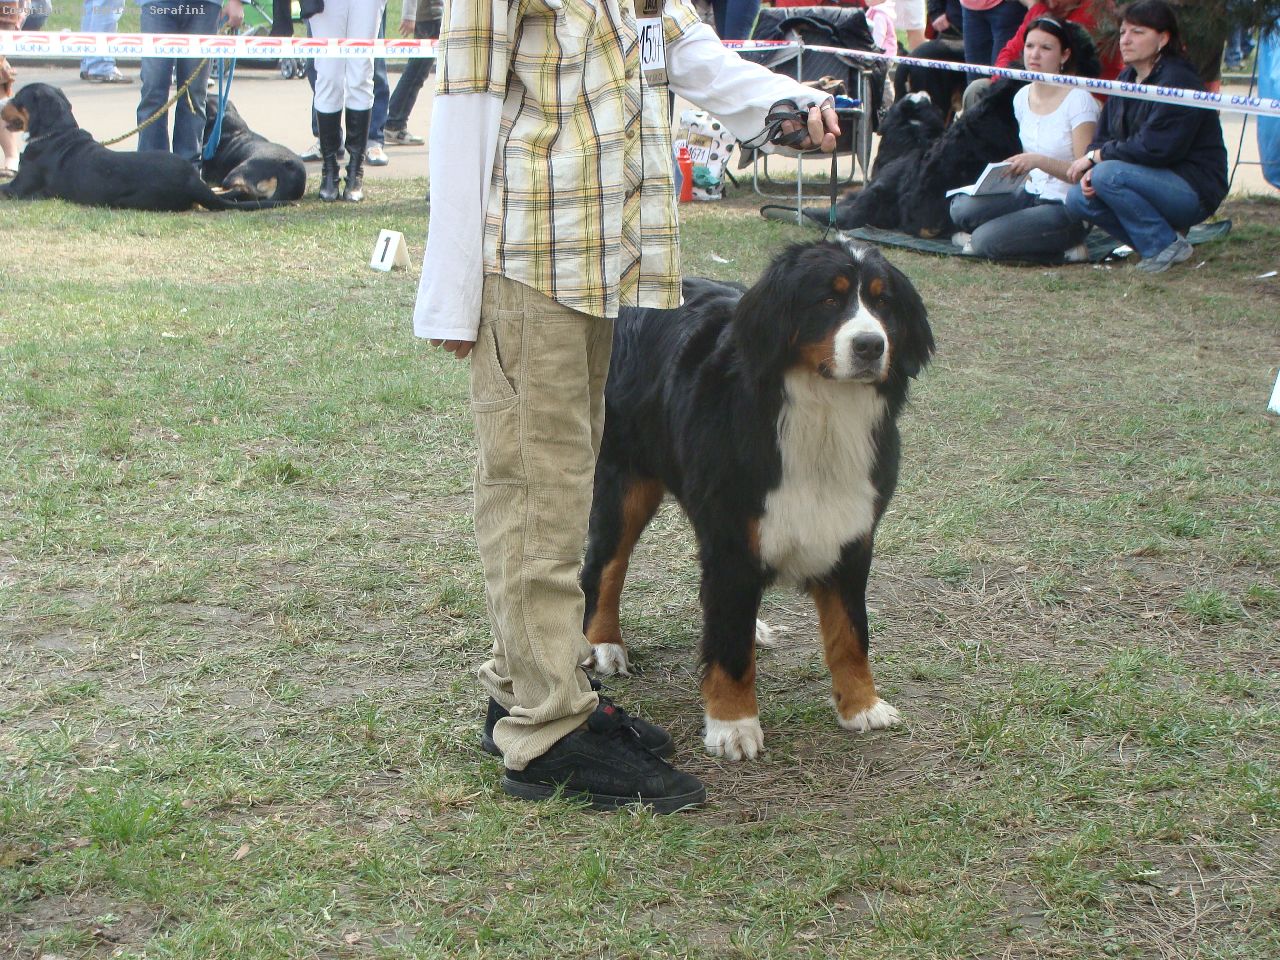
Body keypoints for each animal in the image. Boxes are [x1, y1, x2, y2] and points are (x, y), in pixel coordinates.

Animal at [581, 239, 934, 761]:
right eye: (829, 299)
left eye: (882, 301)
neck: (824, 415)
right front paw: (733, 725)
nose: (871, 345)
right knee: (605, 565)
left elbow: (852, 635)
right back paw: (603, 645)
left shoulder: (850, 535)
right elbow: (729, 648)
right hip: (624, 481)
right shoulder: (731, 538)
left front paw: (861, 706)